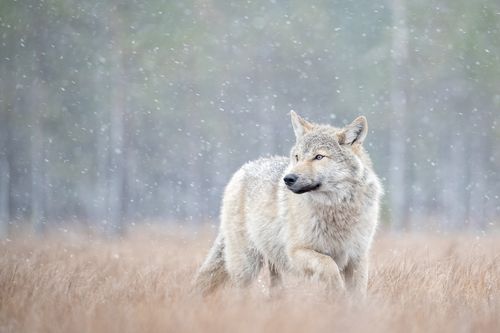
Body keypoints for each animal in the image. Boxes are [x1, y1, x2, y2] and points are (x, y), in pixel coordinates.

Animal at [193, 112, 380, 296]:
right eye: (297, 157)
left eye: (319, 157)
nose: (288, 178)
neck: (335, 208)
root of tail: (244, 168)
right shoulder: (296, 252)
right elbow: (329, 265)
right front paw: (337, 292)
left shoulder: (357, 257)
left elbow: (357, 294)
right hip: (247, 265)